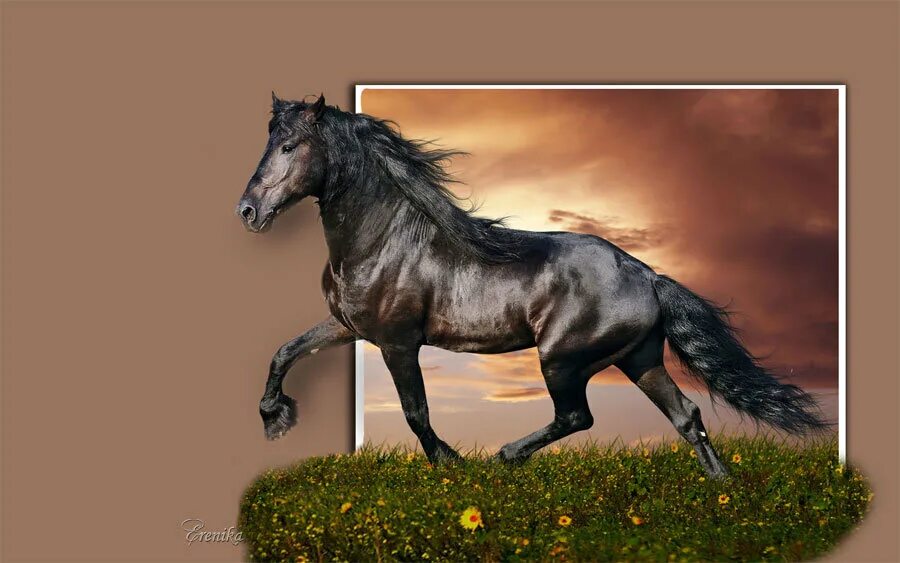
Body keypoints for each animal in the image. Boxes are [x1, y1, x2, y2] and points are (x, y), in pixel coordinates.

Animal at [236, 93, 827, 478]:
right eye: (269, 142)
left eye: (290, 146)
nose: (248, 211)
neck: (382, 239)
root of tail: (648, 276)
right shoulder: (349, 326)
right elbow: (285, 351)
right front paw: (275, 419)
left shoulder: (398, 342)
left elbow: (415, 412)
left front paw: (451, 465)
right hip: (639, 358)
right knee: (687, 416)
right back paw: (722, 492)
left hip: (562, 358)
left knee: (577, 416)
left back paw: (504, 456)